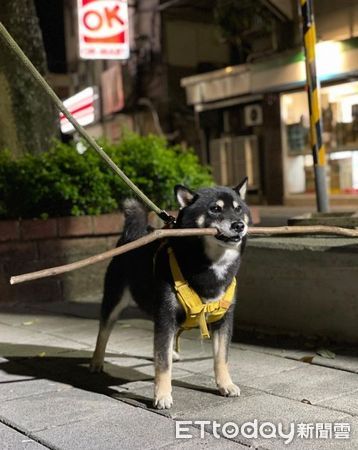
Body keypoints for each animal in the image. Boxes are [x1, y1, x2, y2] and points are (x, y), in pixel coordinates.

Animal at [91, 178, 250, 410]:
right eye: (215, 209)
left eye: (239, 209)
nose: (239, 225)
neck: (212, 266)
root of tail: (133, 234)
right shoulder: (165, 316)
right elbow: (162, 363)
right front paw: (163, 395)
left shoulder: (223, 319)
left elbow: (221, 358)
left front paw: (225, 385)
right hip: (115, 299)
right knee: (103, 332)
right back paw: (96, 361)